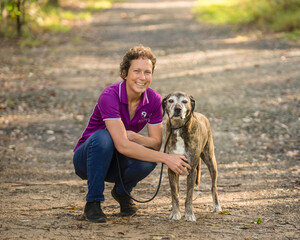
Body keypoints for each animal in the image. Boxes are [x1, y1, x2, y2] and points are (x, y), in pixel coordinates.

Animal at [163, 92, 221, 221]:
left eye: (185, 101)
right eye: (170, 100)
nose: (178, 109)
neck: (179, 128)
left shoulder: (192, 169)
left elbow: (189, 195)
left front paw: (189, 214)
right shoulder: (172, 167)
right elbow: (174, 192)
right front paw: (175, 212)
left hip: (211, 160)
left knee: (213, 186)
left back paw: (216, 206)